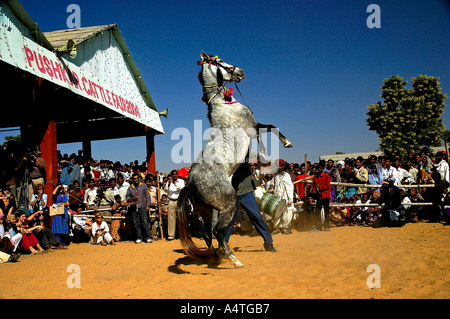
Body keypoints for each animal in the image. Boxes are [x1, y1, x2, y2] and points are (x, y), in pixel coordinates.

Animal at [176, 51, 292, 268]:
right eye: (221, 61)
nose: (241, 71)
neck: (223, 105)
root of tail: (191, 184)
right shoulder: (253, 126)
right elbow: (272, 127)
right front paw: (285, 143)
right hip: (227, 205)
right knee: (218, 232)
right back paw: (234, 260)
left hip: (206, 211)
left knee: (208, 234)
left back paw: (216, 257)